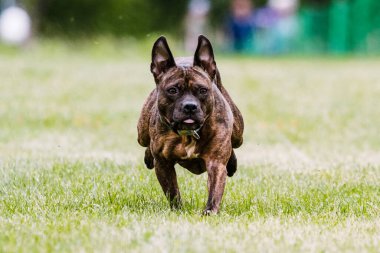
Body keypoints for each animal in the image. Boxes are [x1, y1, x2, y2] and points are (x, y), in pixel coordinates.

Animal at [137, 34, 243, 214]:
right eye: (173, 90)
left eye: (203, 90)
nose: (190, 106)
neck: (188, 134)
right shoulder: (163, 164)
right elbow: (172, 191)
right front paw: (178, 210)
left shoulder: (216, 162)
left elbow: (215, 190)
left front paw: (210, 212)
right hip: (141, 134)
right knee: (146, 144)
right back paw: (148, 157)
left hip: (238, 135)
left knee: (233, 146)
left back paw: (232, 163)